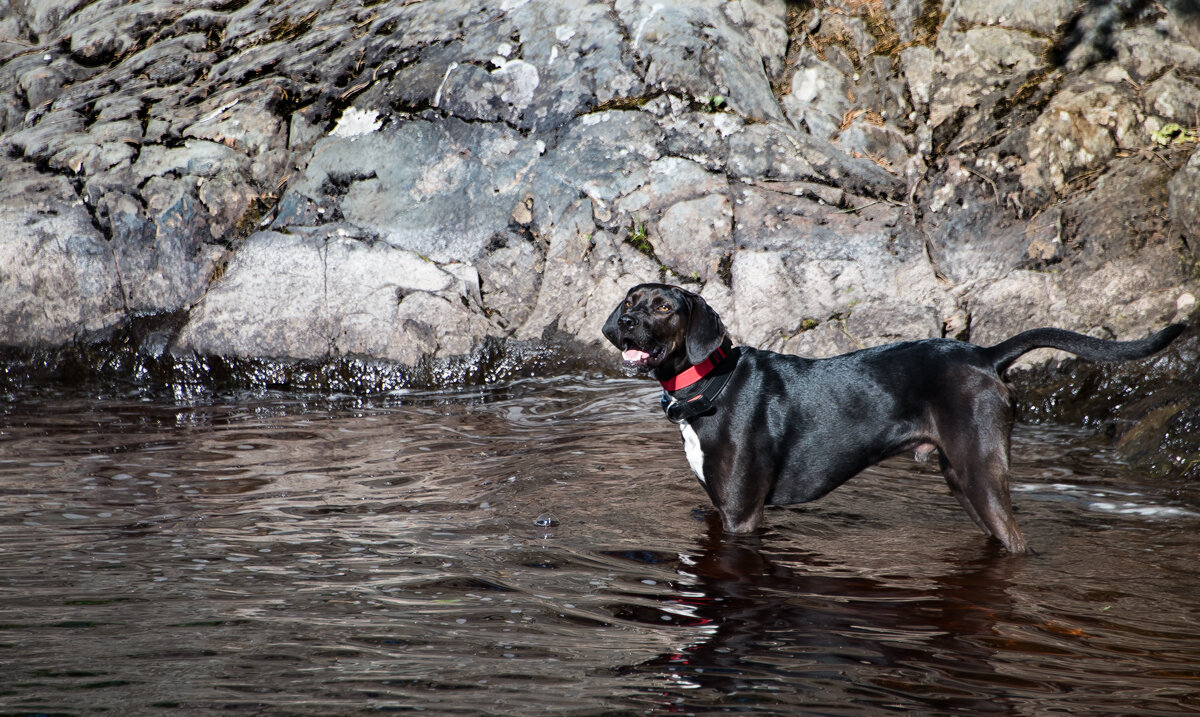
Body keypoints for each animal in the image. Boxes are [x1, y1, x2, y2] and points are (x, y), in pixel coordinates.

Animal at [604, 284, 1185, 553]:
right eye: (631, 301)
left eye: (663, 307)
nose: (625, 322)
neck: (709, 384)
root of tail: (985, 355)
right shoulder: (719, 508)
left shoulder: (743, 515)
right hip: (963, 480)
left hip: (980, 474)